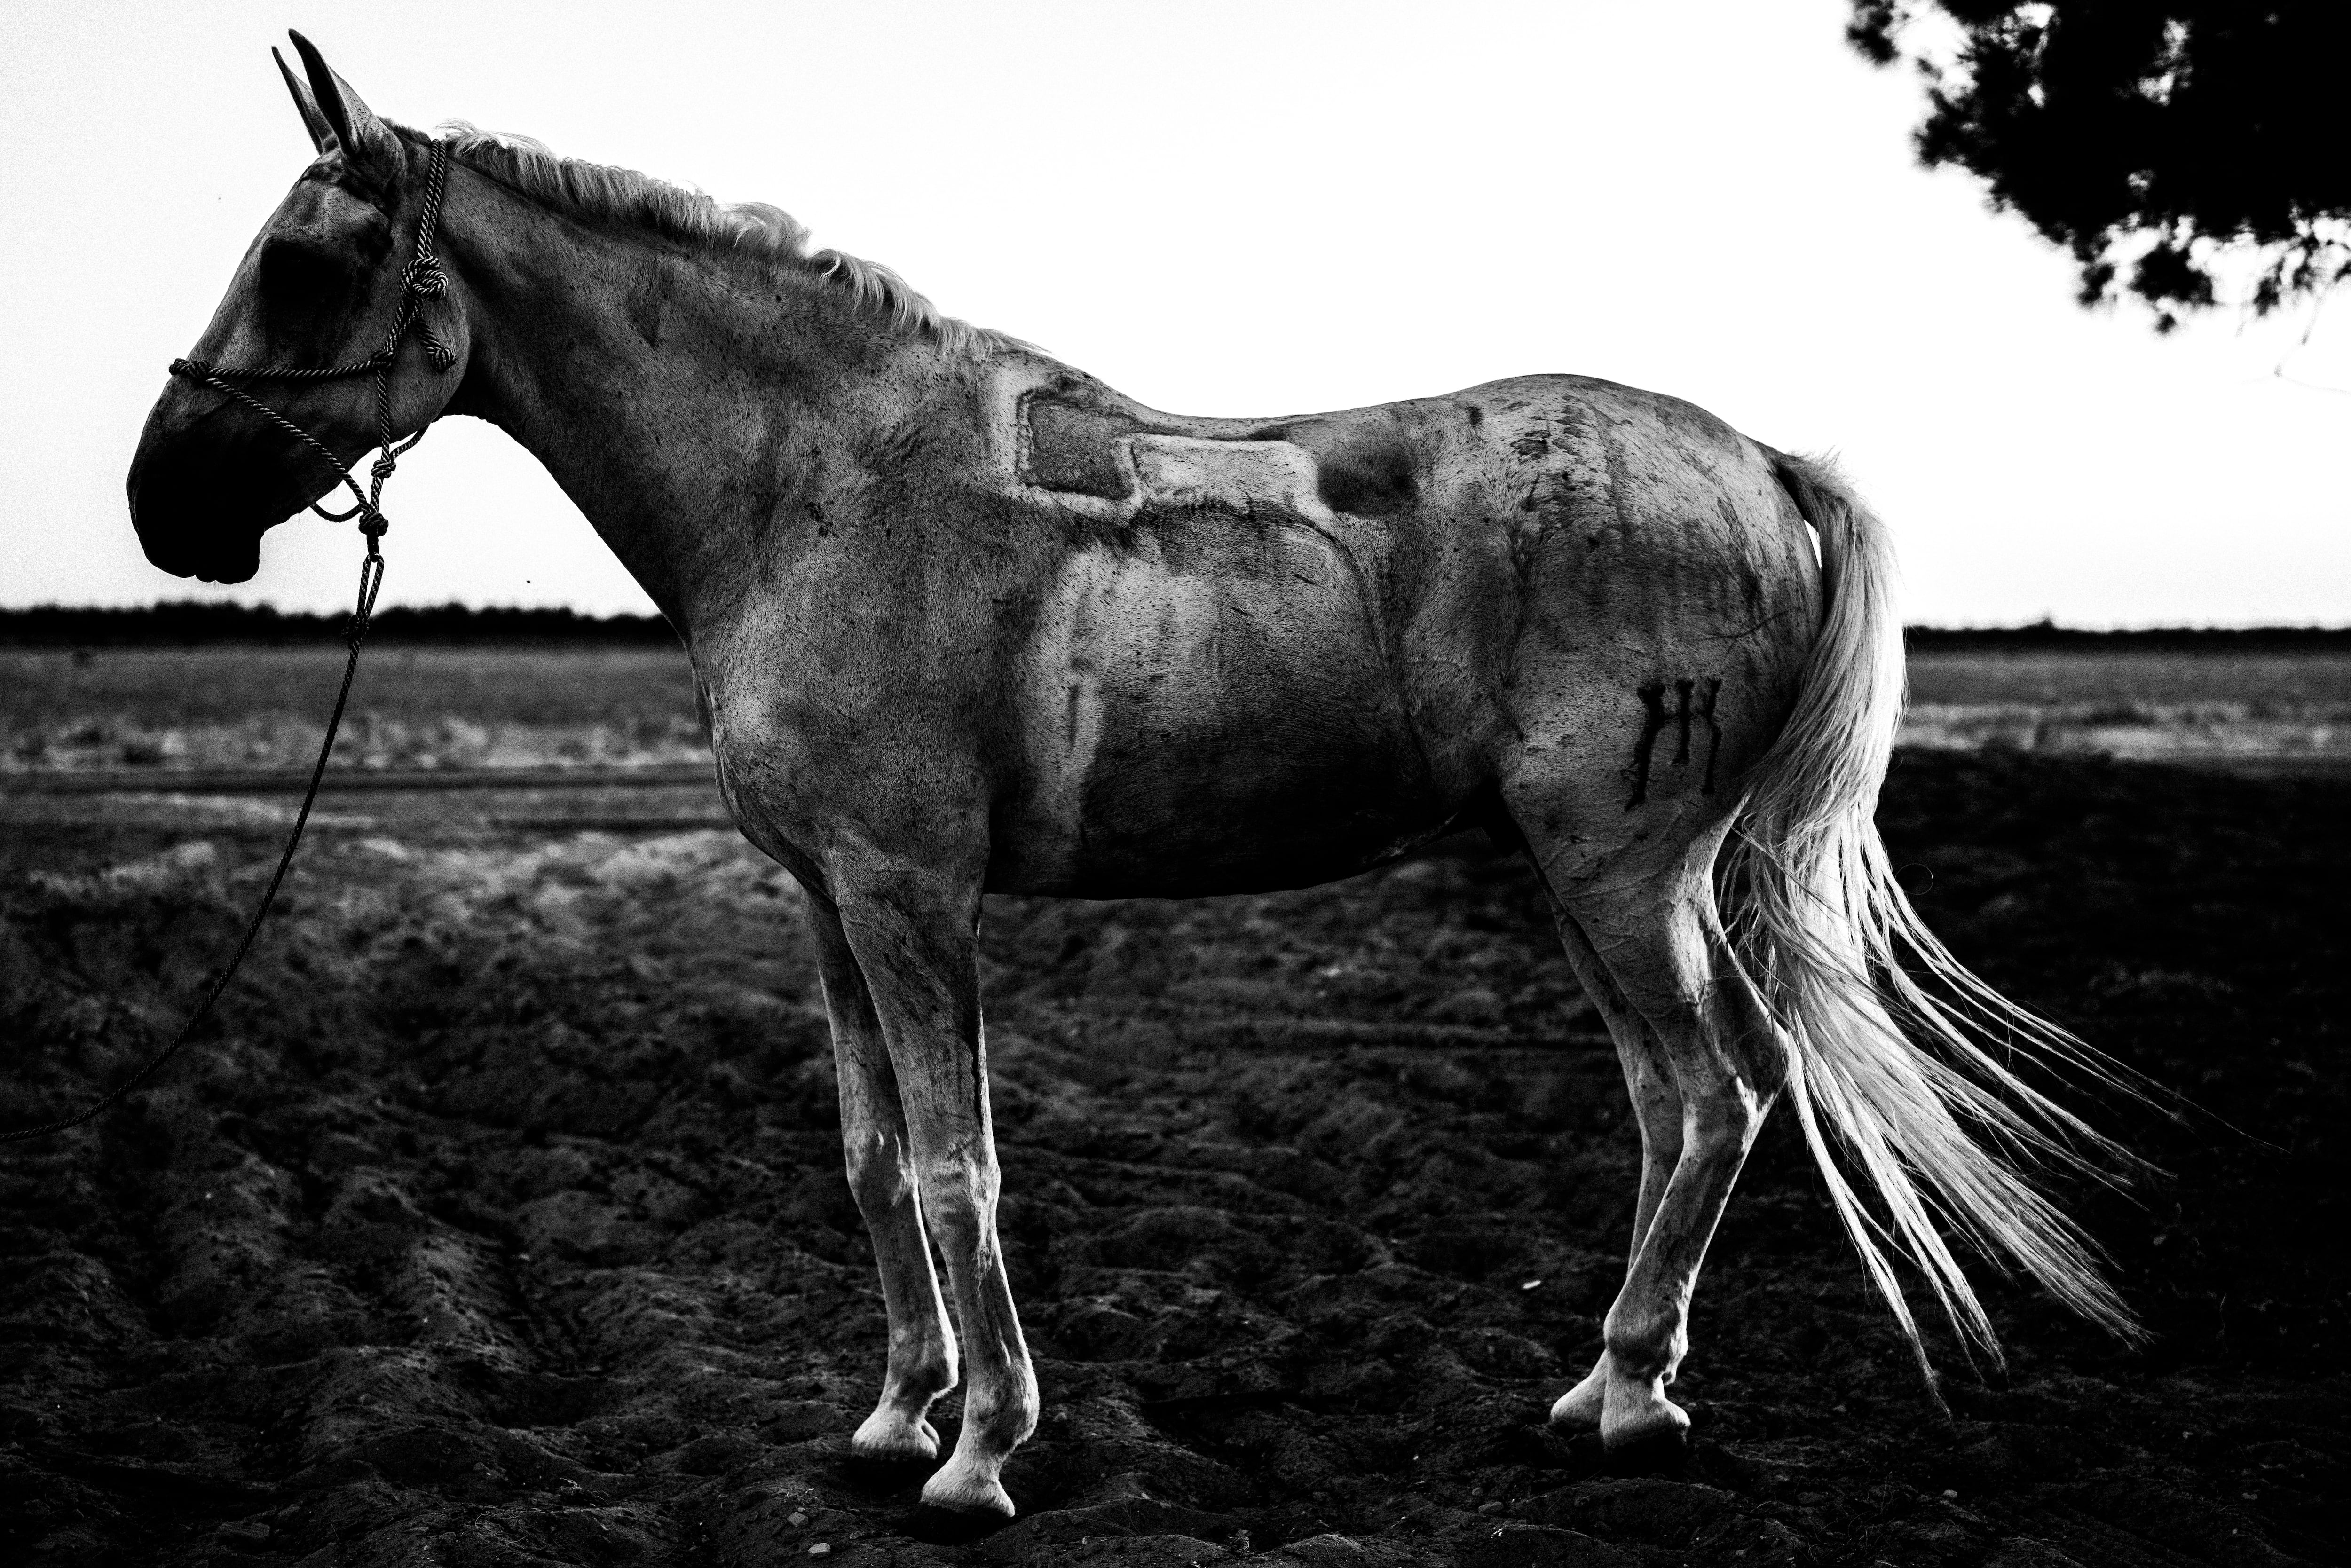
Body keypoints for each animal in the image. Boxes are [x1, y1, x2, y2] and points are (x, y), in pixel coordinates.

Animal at [129, 34, 2137, 1520]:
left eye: (304, 261)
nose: (162, 505)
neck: (818, 487)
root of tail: (1762, 465)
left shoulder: (912, 896)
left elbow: (959, 1163)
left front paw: (983, 1450)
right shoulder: (823, 902)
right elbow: (871, 1157)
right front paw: (893, 1418)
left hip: (1620, 873)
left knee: (1723, 1092)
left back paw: (1634, 1401)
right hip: (1603, 883)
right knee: (1677, 1102)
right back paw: (1594, 1385)